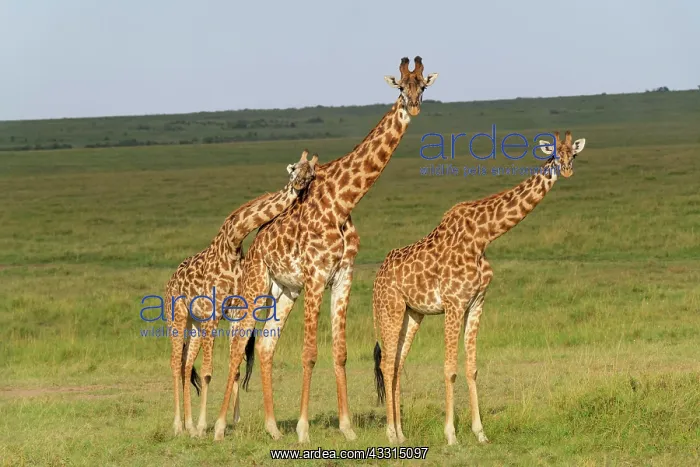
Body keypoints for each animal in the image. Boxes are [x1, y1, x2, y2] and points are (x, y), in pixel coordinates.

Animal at [165, 150, 319, 438]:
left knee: (185, 364)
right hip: (176, 318)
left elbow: (234, 367)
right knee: (175, 363)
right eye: (294, 168)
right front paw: (204, 426)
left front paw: (231, 421)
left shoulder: (236, 310)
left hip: (194, 323)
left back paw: (188, 425)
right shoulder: (214, 314)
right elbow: (207, 372)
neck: (233, 243)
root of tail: (169, 283)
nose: (300, 183)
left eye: (312, 173)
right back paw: (179, 425)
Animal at [212, 56, 439, 443]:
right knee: (238, 341)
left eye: (422, 85)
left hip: (284, 291)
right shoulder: (316, 276)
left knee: (266, 346)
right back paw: (217, 427)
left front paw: (347, 428)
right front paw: (304, 430)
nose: (413, 106)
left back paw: (273, 428)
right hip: (257, 283)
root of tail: (256, 243)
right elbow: (309, 353)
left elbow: (341, 352)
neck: (343, 200)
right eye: (399, 87)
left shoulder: (343, 276)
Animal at [372, 131, 586, 445]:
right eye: (555, 154)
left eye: (575, 154)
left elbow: (472, 368)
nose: (568, 170)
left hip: (413, 314)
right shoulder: (453, 303)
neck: (483, 236)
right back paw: (391, 434)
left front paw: (480, 433)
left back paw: (401, 433)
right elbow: (450, 369)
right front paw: (451, 435)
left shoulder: (476, 302)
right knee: (387, 364)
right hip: (390, 309)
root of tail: (377, 277)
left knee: (398, 364)